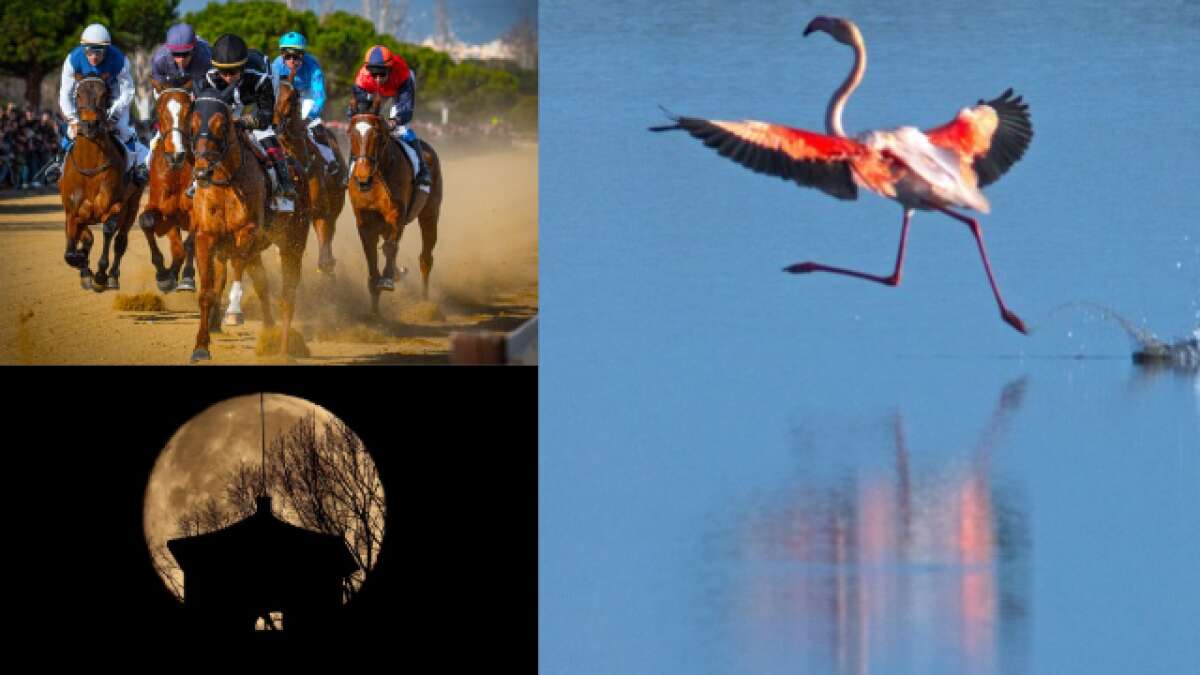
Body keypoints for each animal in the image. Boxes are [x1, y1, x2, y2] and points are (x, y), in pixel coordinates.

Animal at [60, 75, 143, 289]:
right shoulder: (73, 213)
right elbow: (73, 250)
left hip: (132, 206)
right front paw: (84, 267)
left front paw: (100, 273)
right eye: (78, 94)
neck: (90, 169)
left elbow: (108, 230)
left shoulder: (115, 206)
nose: (90, 125)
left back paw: (112, 275)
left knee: (120, 240)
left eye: (104, 94)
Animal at [141, 76, 199, 291]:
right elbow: (147, 221)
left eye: (189, 109)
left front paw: (188, 276)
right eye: (159, 110)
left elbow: (190, 243)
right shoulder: (163, 209)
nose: (176, 155)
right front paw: (164, 274)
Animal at [186, 88, 309, 362]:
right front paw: (201, 346)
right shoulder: (205, 238)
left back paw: (283, 350)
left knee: (288, 296)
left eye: (222, 126)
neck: (225, 184)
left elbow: (237, 266)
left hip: (292, 245)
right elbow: (208, 291)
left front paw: (233, 312)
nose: (201, 172)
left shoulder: (247, 233)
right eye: (193, 124)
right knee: (263, 285)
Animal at [348, 93, 441, 312]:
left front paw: (386, 280)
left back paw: (425, 303)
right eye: (350, 133)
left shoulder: (396, 214)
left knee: (425, 258)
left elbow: (390, 247)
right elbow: (370, 252)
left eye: (378, 135)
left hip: (430, 213)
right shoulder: (364, 219)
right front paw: (374, 302)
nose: (362, 177)